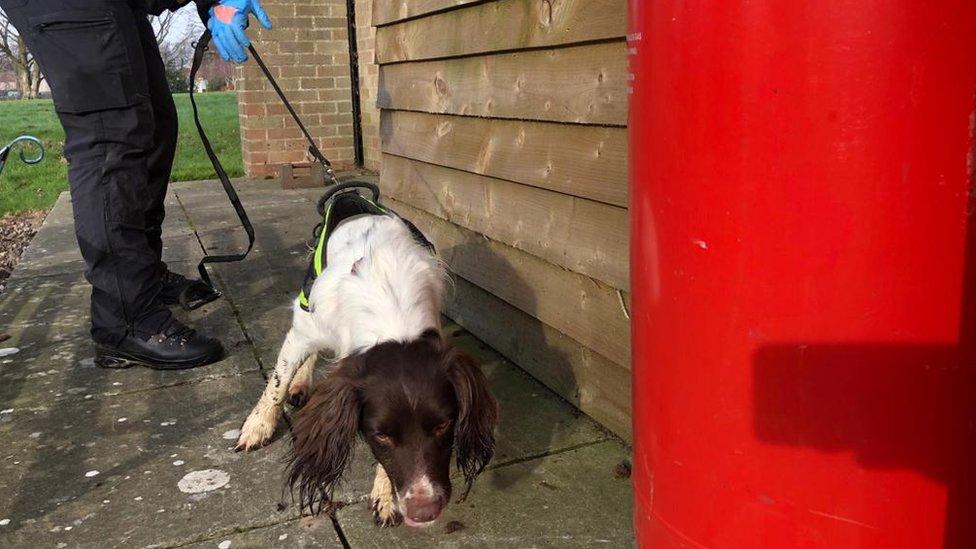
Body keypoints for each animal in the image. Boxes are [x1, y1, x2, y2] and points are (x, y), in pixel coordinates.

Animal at [234, 211, 496, 528]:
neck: (390, 308)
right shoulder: (304, 331)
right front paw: (258, 426)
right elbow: (277, 383)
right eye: (380, 435)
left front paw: (385, 496)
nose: (424, 512)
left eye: (444, 425)